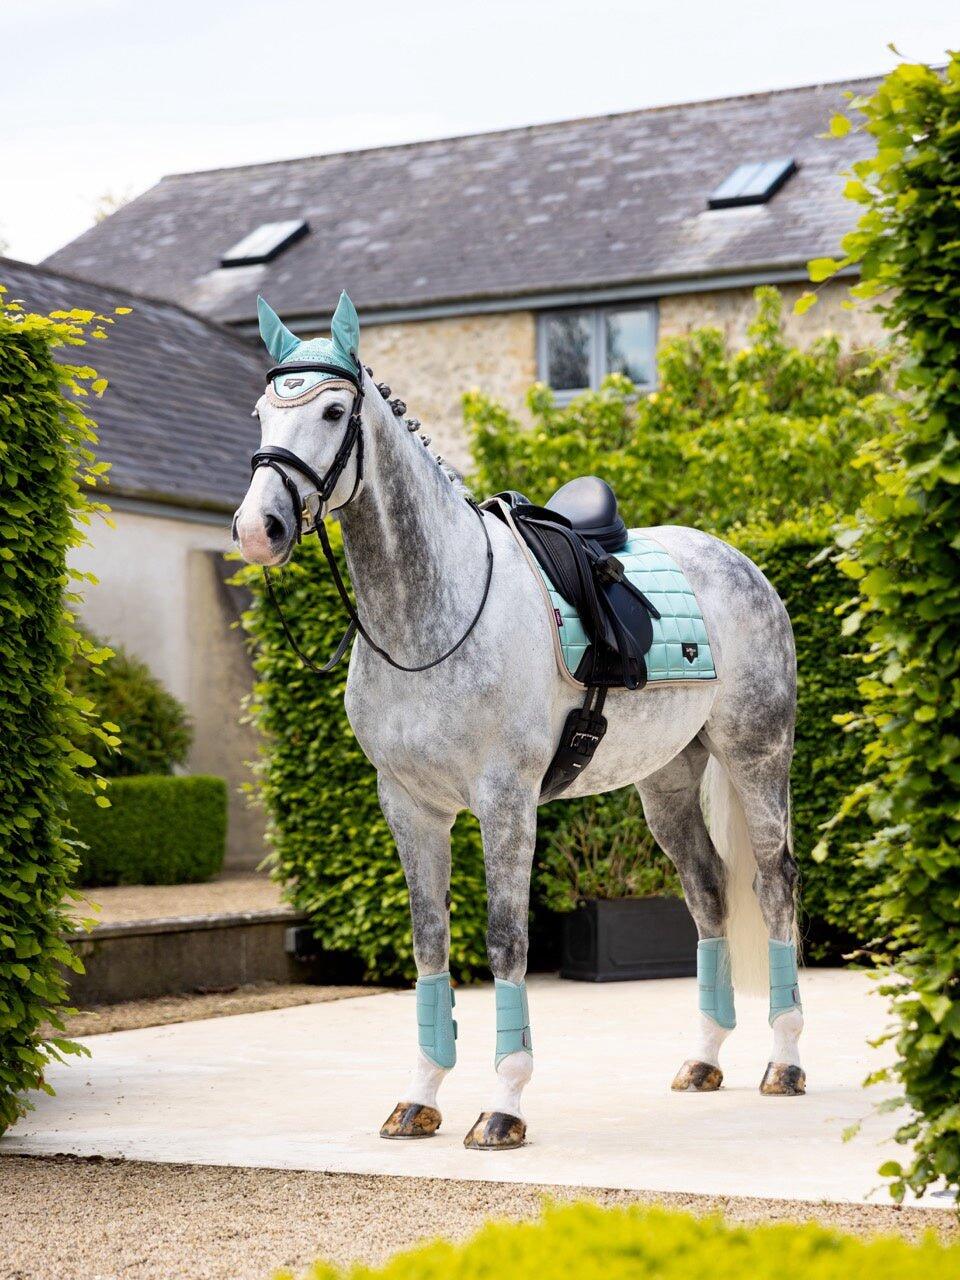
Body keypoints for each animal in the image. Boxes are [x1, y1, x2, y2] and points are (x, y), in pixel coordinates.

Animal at [233, 290, 804, 1151]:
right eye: (264, 410)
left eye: (333, 410)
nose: (257, 528)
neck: (430, 619)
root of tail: (741, 566)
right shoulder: (409, 806)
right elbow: (429, 939)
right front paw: (420, 1097)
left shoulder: (505, 803)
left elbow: (506, 939)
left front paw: (502, 1106)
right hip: (669, 781)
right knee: (708, 893)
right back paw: (704, 1061)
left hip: (757, 759)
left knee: (773, 885)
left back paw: (784, 1063)